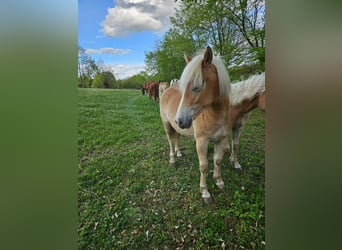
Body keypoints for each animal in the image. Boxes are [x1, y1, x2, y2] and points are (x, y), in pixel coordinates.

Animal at [160, 46, 232, 203]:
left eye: (197, 87)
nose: (180, 120)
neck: (214, 115)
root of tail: (166, 90)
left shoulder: (221, 139)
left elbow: (218, 160)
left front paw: (219, 181)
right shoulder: (201, 142)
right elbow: (203, 166)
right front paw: (205, 192)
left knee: (176, 138)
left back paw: (179, 153)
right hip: (167, 125)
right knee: (170, 140)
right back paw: (173, 159)